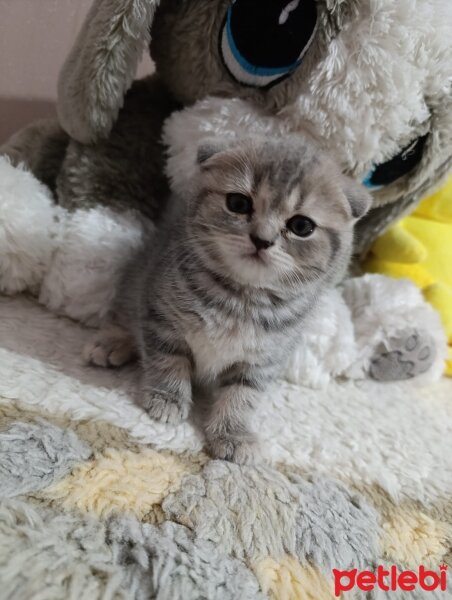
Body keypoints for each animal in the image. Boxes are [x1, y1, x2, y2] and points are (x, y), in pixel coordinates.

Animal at [85, 135, 370, 464]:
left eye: (301, 226)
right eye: (238, 204)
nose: (262, 239)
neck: (240, 299)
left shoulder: (263, 358)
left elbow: (241, 395)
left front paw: (233, 433)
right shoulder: (161, 316)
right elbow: (168, 360)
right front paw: (167, 397)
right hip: (138, 279)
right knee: (126, 313)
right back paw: (113, 342)